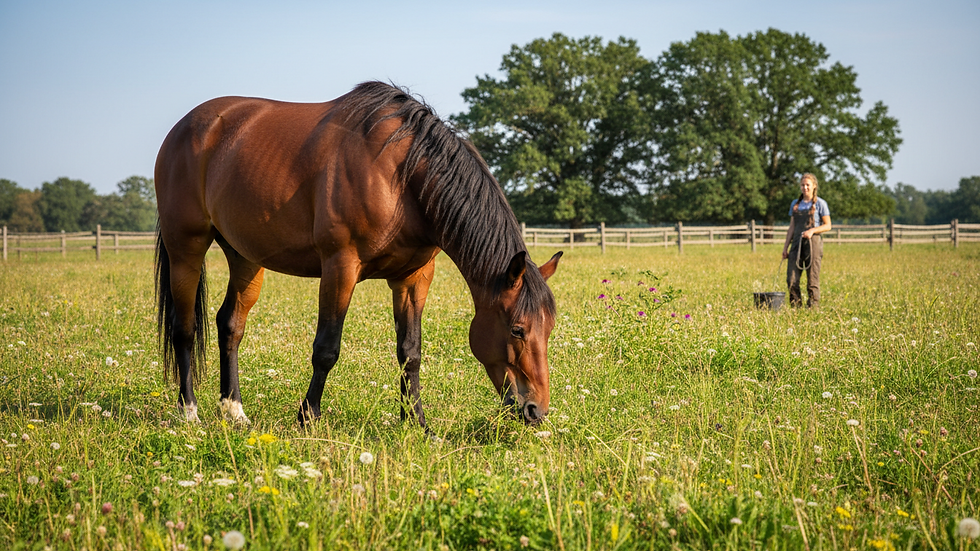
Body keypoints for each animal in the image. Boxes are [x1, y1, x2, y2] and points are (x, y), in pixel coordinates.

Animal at [154, 81, 562, 428]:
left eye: (549, 329)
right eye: (518, 329)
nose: (536, 410)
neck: (402, 177)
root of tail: (185, 128)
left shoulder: (413, 279)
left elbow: (410, 352)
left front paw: (416, 423)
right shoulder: (340, 267)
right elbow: (326, 348)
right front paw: (308, 417)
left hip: (245, 257)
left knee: (230, 326)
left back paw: (234, 411)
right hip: (186, 247)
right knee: (184, 328)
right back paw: (189, 413)